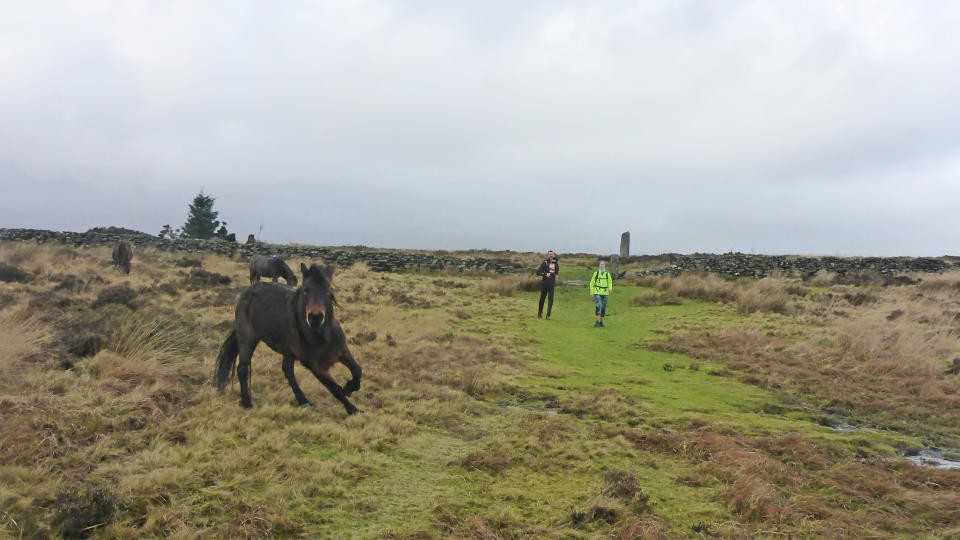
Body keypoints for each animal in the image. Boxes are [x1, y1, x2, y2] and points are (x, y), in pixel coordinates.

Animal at [216, 262, 362, 414]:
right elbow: (334, 389)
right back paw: (248, 403)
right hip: (248, 339)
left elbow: (357, 370)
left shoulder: (342, 351)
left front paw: (349, 388)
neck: (321, 335)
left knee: (288, 371)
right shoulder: (315, 366)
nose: (315, 318)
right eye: (305, 291)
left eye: (328, 289)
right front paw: (353, 409)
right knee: (243, 368)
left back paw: (303, 401)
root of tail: (247, 291)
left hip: (287, 351)